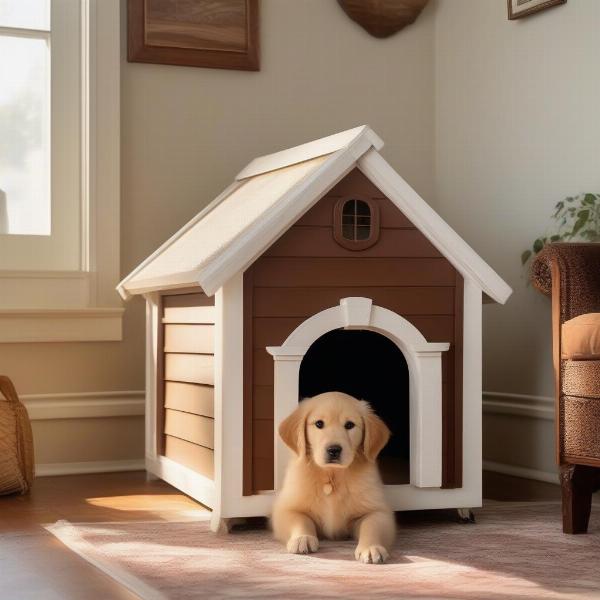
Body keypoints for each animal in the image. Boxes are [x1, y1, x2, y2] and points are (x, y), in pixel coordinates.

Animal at [270, 390, 394, 564]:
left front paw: (371, 547)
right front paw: (303, 538)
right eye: (319, 424)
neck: (331, 475)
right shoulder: (285, 507)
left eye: (349, 425)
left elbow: (372, 525)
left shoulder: (378, 510)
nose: (334, 450)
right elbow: (300, 519)